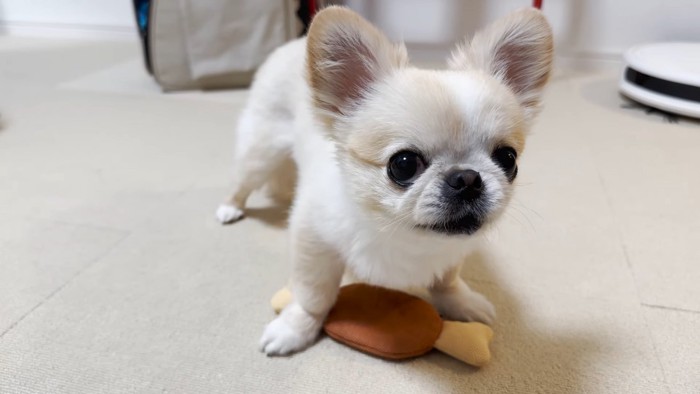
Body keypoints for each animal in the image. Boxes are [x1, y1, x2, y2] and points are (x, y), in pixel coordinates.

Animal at [217, 6, 552, 356]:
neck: (400, 233)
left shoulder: (452, 250)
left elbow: (446, 279)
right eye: (403, 165)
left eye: (508, 159)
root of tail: (294, 42)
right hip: (260, 151)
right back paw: (229, 208)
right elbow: (314, 295)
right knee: (242, 182)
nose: (467, 177)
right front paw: (296, 328)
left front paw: (460, 303)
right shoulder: (315, 241)